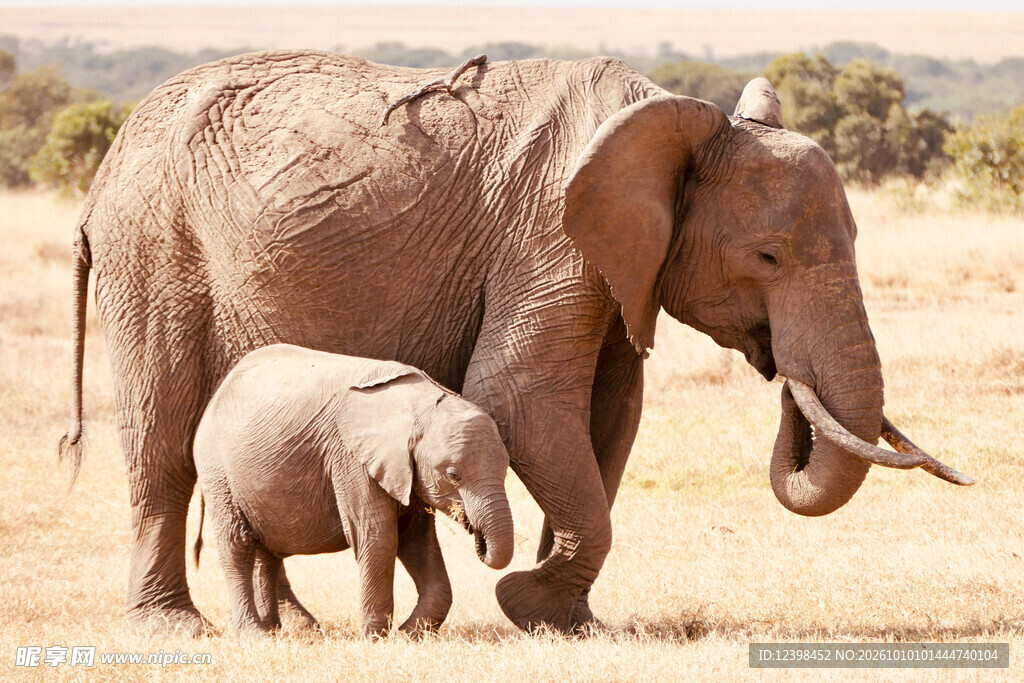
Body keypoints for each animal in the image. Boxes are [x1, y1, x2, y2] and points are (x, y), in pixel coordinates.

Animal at [191, 344, 513, 638]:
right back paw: (255, 636)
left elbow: (416, 539)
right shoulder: (351, 459)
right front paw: (376, 639)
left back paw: (274, 631)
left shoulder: (404, 470)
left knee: (268, 552)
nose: (479, 538)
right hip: (217, 470)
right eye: (453, 475)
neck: (418, 405)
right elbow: (378, 535)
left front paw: (408, 634)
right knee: (237, 546)